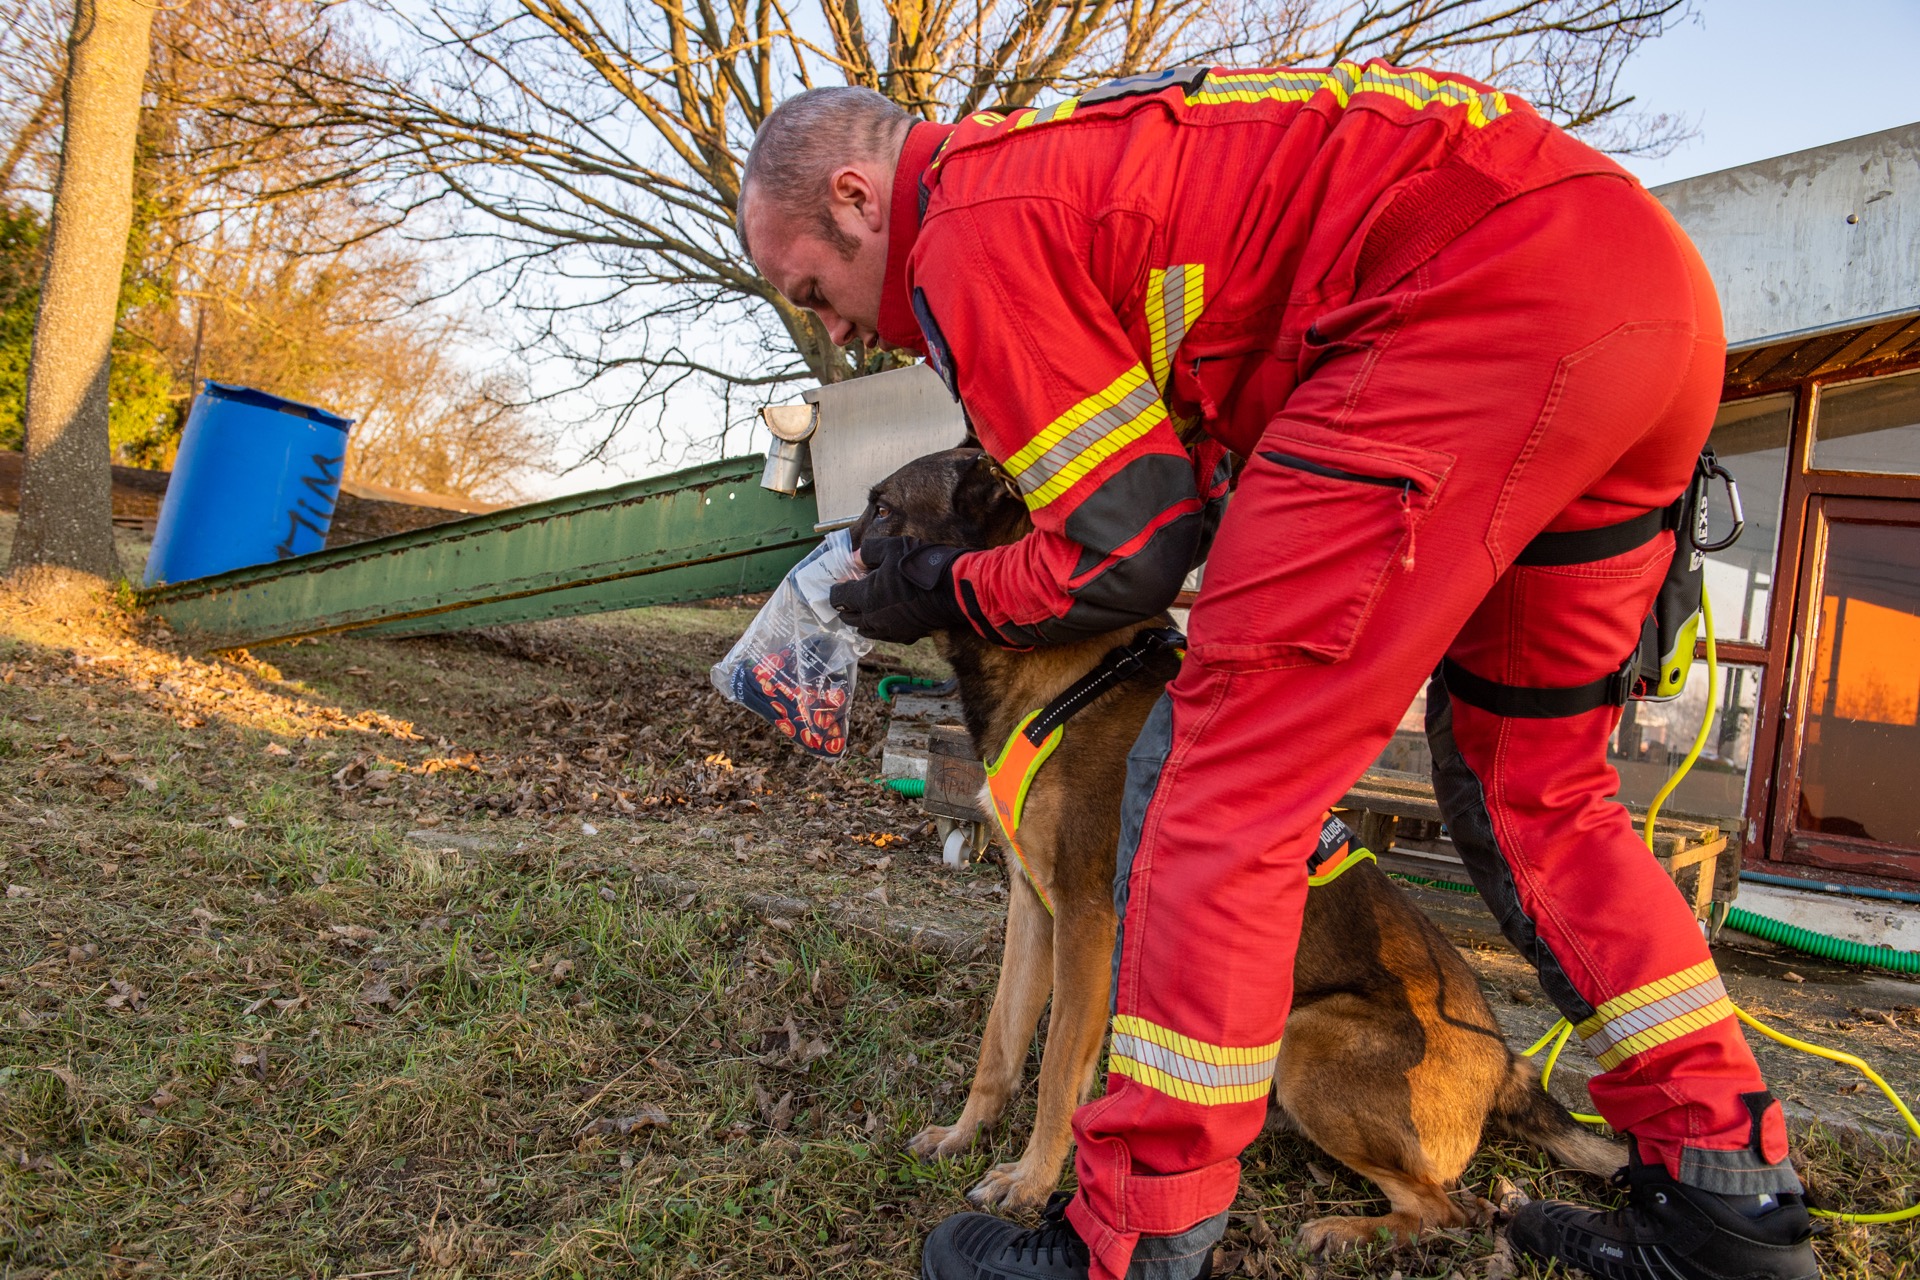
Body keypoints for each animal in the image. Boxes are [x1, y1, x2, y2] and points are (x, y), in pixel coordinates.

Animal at [856, 449, 1620, 1251]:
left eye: (882, 510)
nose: (835, 554)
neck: (1067, 678)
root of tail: (1507, 1065)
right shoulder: (1034, 912)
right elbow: (999, 1044)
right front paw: (964, 1137)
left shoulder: (1087, 925)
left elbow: (1060, 1070)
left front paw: (1031, 1183)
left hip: (1309, 1038)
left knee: (1448, 1210)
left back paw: (1345, 1228)